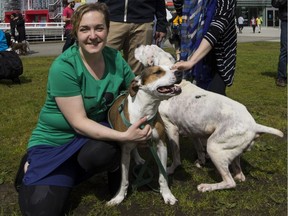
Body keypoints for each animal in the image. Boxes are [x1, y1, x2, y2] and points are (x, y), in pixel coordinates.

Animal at [106, 65, 182, 205]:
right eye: (158, 72)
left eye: (171, 67)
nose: (180, 72)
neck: (145, 113)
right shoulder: (124, 150)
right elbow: (124, 179)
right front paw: (119, 197)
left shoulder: (161, 145)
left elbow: (163, 176)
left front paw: (167, 194)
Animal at [134, 45, 284, 192]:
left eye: (145, 48)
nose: (137, 46)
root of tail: (254, 125)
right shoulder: (192, 129)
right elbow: (199, 148)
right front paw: (201, 161)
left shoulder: (171, 128)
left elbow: (176, 154)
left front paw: (171, 169)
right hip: (232, 150)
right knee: (238, 172)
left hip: (214, 147)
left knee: (229, 182)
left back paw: (207, 186)